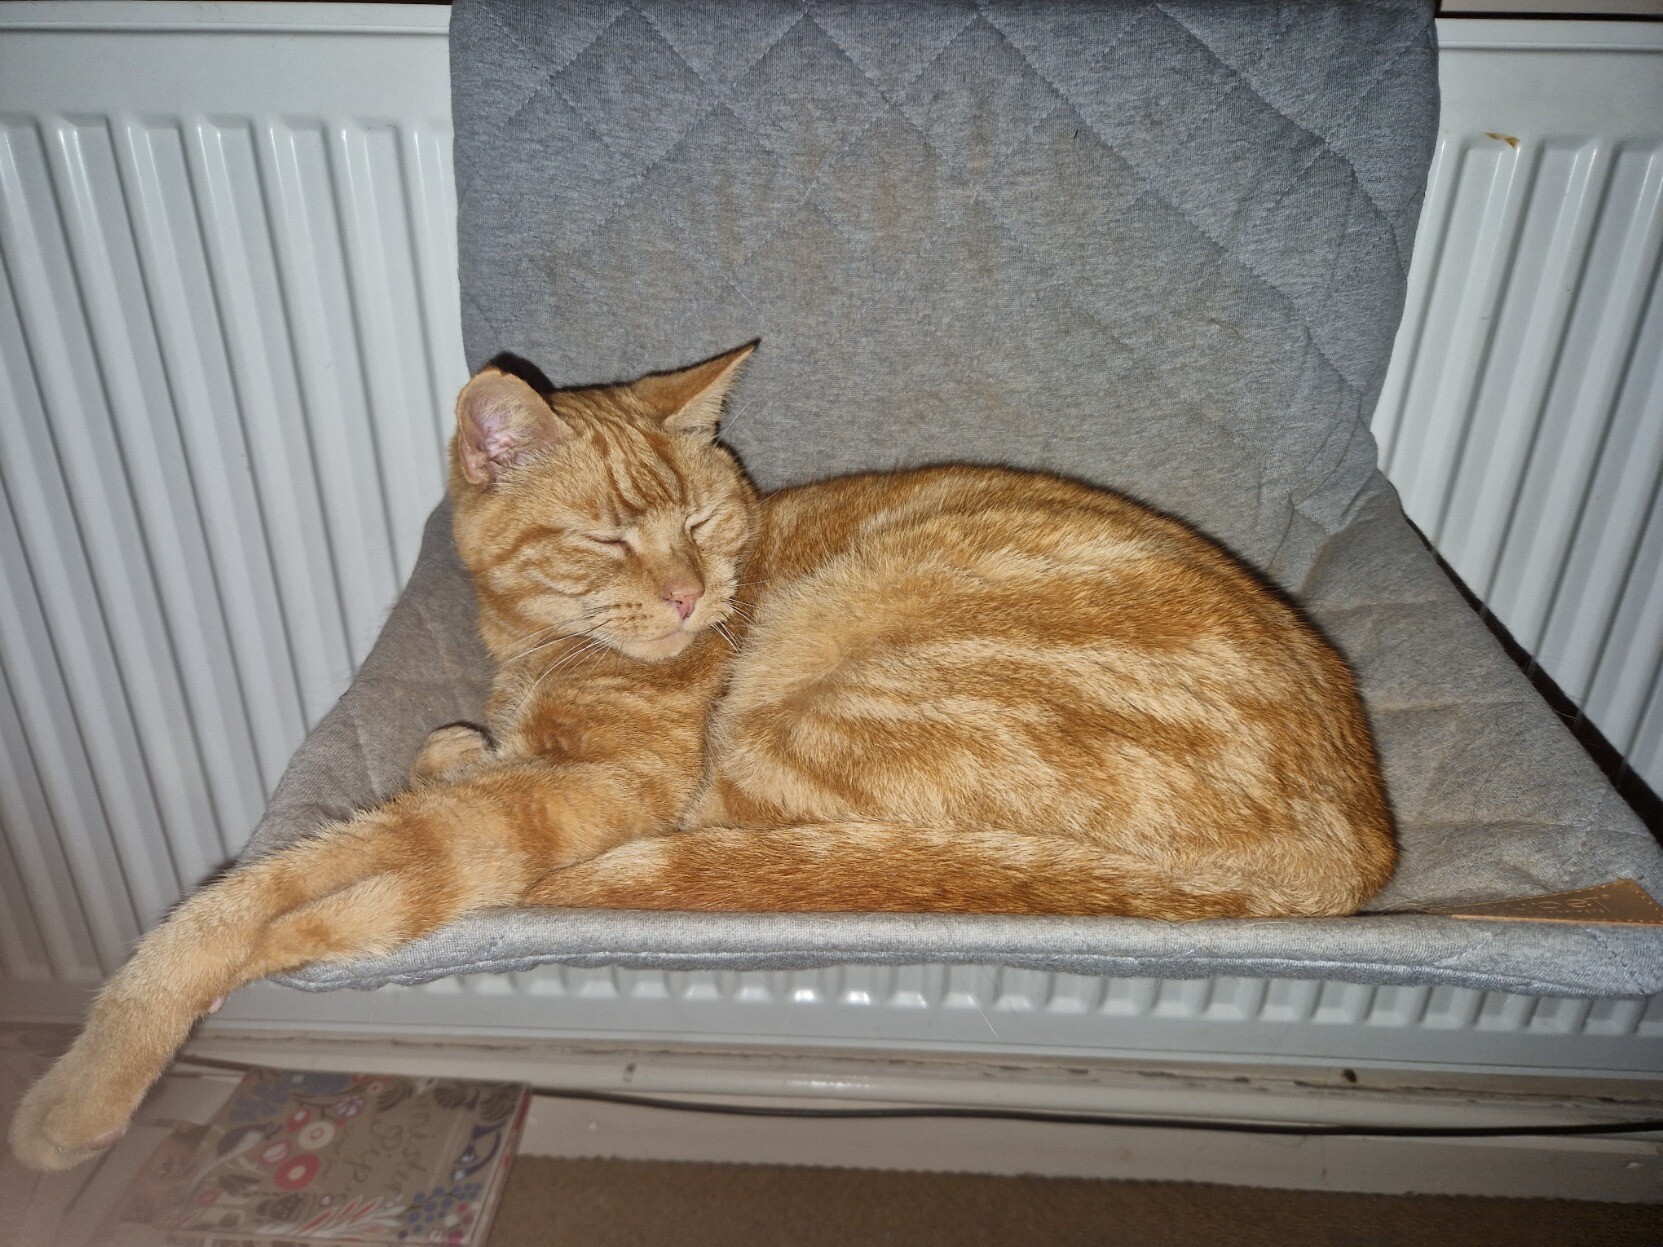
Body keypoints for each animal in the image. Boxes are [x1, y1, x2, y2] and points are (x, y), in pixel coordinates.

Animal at [10, 342, 1395, 1171]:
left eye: (702, 519)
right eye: (609, 538)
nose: (687, 598)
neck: (541, 650)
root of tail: (1353, 859)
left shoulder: (605, 791)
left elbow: (249, 898)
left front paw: (86, 1087)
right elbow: (447, 759)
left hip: (789, 747)